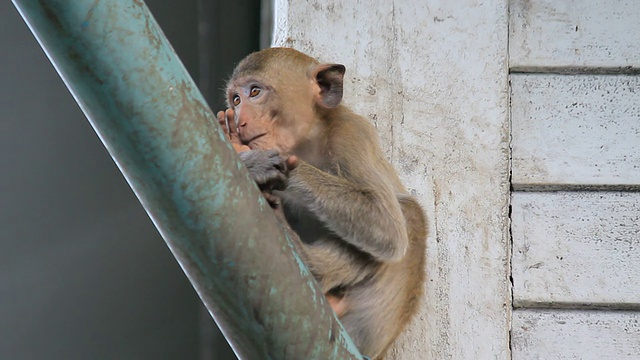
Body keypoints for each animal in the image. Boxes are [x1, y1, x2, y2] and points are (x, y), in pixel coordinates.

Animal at [214, 48, 424, 360]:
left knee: (410, 216)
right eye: (236, 100)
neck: (306, 143)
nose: (239, 119)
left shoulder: (352, 135)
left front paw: (256, 159)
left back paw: (312, 265)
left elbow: (387, 228)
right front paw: (251, 160)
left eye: (254, 92)